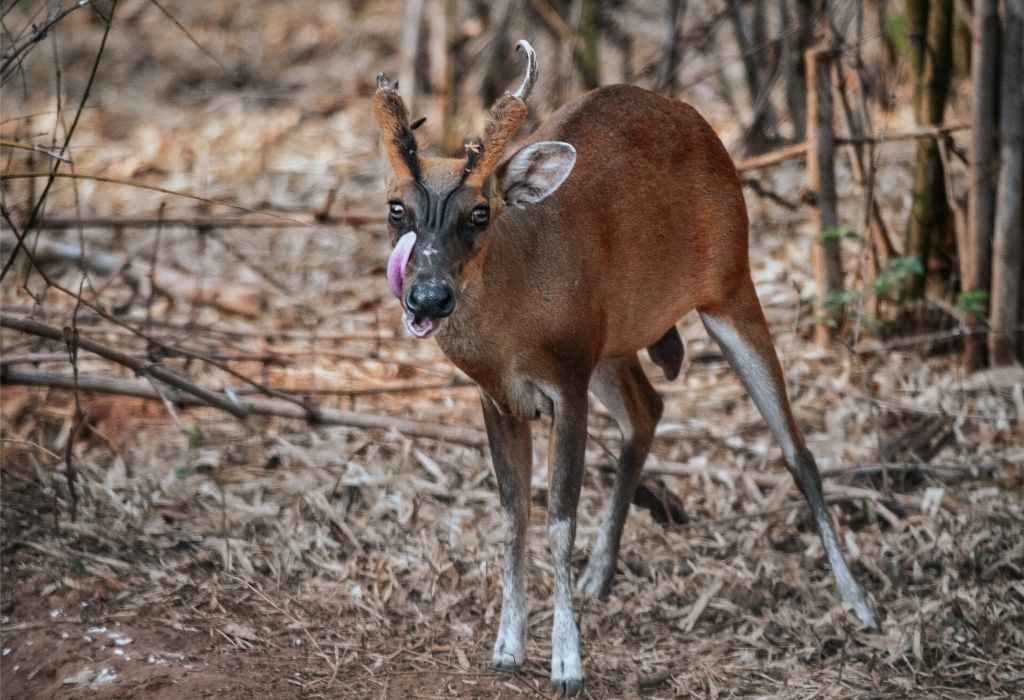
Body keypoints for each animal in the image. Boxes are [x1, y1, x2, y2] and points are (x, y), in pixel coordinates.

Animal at [372, 40, 876, 695]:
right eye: (396, 208)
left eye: (480, 213)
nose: (428, 298)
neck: (514, 322)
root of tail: (696, 119)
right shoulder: (498, 398)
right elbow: (513, 514)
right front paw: (507, 647)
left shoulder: (567, 380)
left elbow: (559, 518)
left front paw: (567, 664)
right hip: (613, 340)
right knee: (648, 409)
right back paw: (600, 574)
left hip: (730, 285)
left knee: (797, 448)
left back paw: (858, 601)